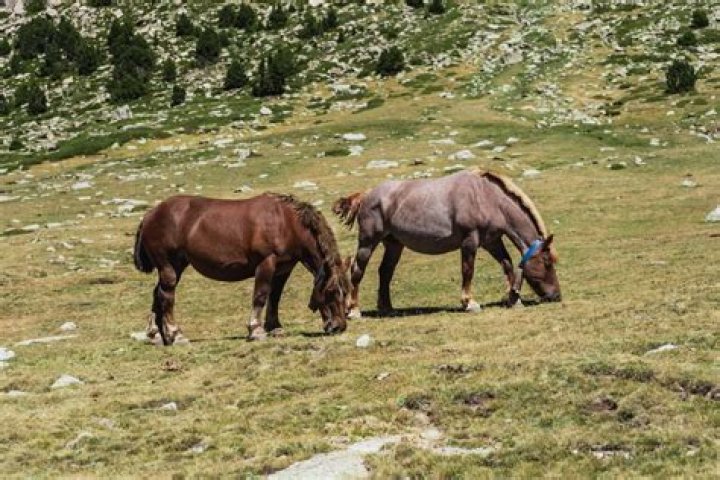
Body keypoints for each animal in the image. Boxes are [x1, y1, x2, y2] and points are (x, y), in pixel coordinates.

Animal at [133, 193, 350, 345]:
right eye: (331, 291)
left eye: (346, 292)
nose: (339, 326)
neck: (286, 222)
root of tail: (150, 215)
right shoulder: (266, 263)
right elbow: (260, 296)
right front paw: (256, 330)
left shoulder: (283, 268)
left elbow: (274, 297)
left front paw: (275, 328)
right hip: (169, 266)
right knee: (166, 296)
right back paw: (176, 334)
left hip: (177, 265)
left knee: (157, 294)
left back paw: (158, 335)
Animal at [332, 170, 561, 318]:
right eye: (547, 262)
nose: (556, 295)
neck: (486, 197)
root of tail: (366, 195)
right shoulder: (470, 241)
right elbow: (468, 270)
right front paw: (469, 303)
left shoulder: (491, 241)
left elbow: (507, 264)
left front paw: (515, 299)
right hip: (368, 242)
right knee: (357, 271)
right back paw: (353, 309)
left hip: (394, 244)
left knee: (385, 272)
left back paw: (387, 308)